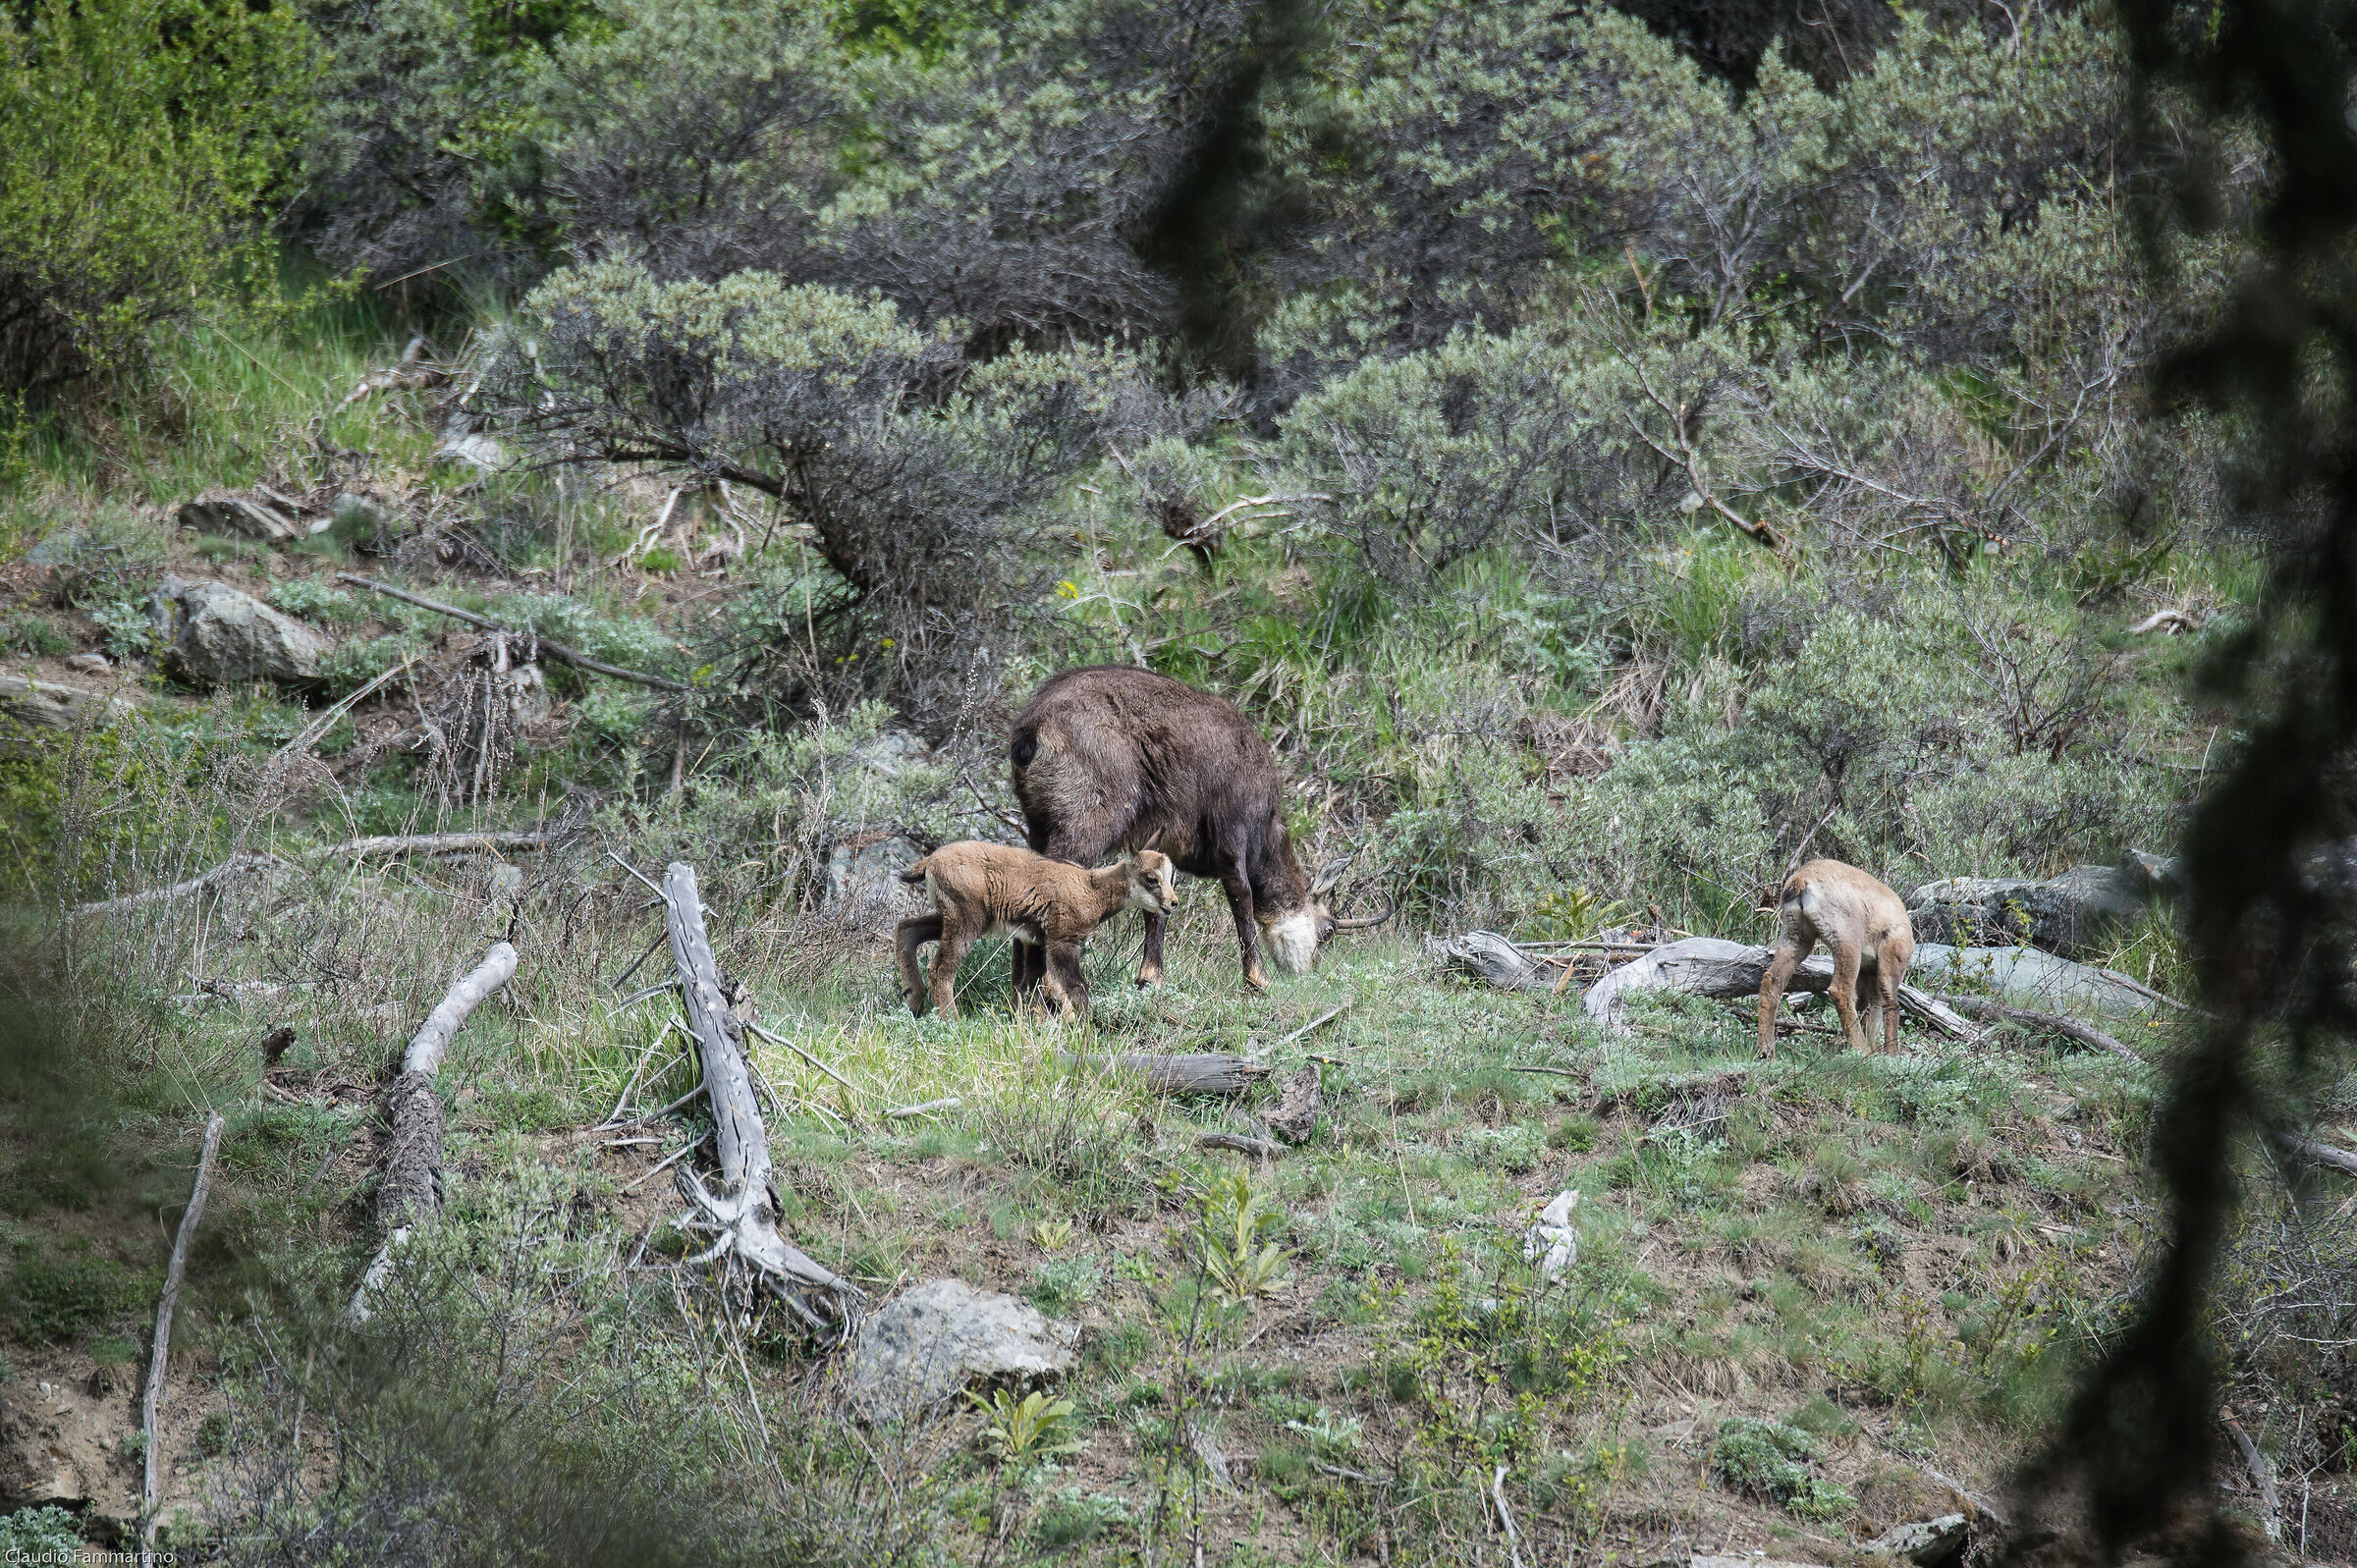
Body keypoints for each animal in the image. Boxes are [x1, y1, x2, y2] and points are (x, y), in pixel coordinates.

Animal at [894, 842, 1177, 1019]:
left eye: (1170, 876)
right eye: (1151, 878)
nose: (1172, 903)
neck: (1092, 888)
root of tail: (931, 861)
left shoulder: (1035, 942)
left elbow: (1028, 985)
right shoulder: (1062, 940)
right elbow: (1077, 987)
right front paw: (1085, 1026)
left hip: (953, 917)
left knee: (907, 928)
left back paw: (913, 1002)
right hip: (966, 920)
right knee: (940, 968)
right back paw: (951, 1020)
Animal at [1008, 665, 1393, 994]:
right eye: (1328, 932)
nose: (1306, 975)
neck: (1266, 827)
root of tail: (1032, 728)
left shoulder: (1161, 843)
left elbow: (1159, 904)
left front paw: (1150, 978)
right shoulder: (1231, 834)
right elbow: (1242, 895)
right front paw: (1257, 979)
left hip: (1038, 822)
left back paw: (1022, 987)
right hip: (1087, 820)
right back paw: (1050, 985)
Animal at [1757, 858, 1916, 1060]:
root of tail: (1801, 880)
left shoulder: (1868, 971)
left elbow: (1869, 1009)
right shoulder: (1892, 955)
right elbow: (1890, 1004)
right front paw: (1891, 1055)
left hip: (1795, 935)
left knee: (1771, 979)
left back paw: (1766, 1050)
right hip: (1847, 939)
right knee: (1841, 990)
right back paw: (1861, 1050)